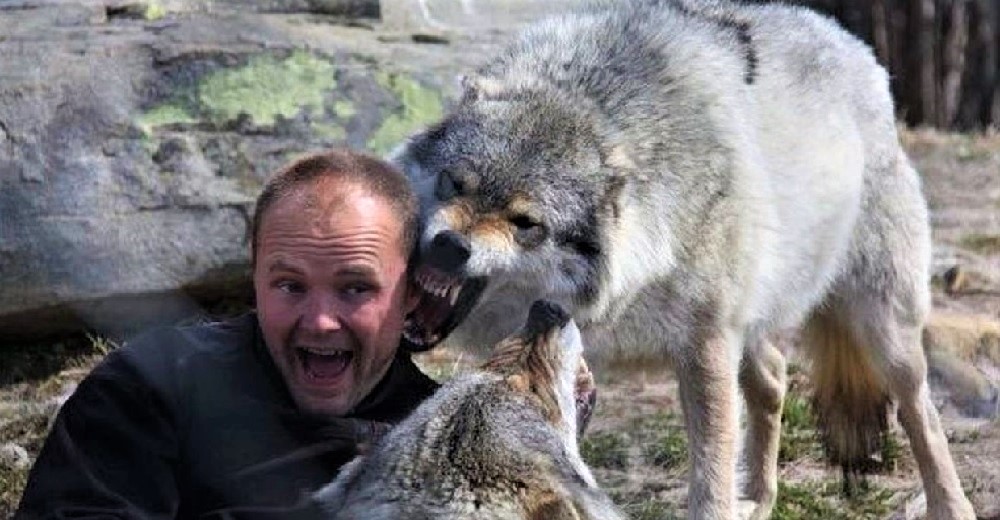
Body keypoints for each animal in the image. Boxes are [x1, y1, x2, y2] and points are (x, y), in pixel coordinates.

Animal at [390, 1, 976, 520]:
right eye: (453, 183)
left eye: (525, 223)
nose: (449, 245)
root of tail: (853, 44)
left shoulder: (706, 346)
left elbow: (710, 478)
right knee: (774, 378)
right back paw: (759, 500)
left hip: (884, 327)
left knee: (919, 410)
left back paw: (952, 506)